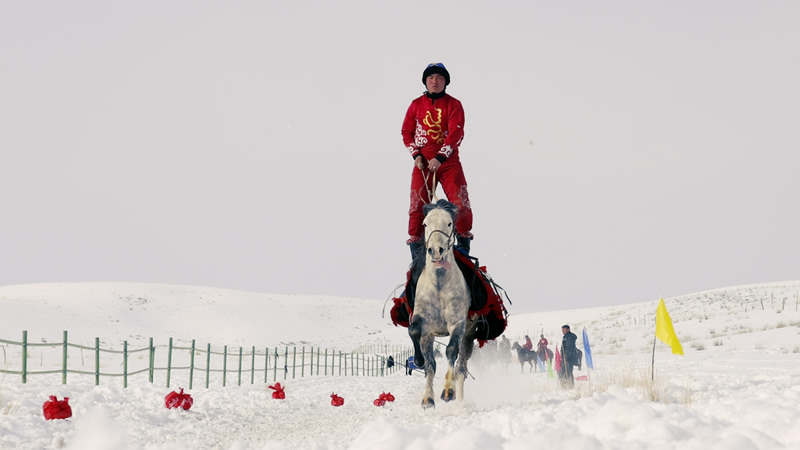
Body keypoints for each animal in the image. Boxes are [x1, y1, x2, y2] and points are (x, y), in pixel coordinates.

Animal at [410, 200, 478, 408]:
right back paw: (428, 397)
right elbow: (414, 333)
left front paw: (448, 390)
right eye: (425, 224)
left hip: (468, 334)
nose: (435, 250)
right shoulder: (424, 324)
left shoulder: (458, 324)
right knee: (432, 365)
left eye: (449, 223)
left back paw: (459, 399)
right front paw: (418, 361)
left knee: (461, 367)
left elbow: (450, 350)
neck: (439, 285)